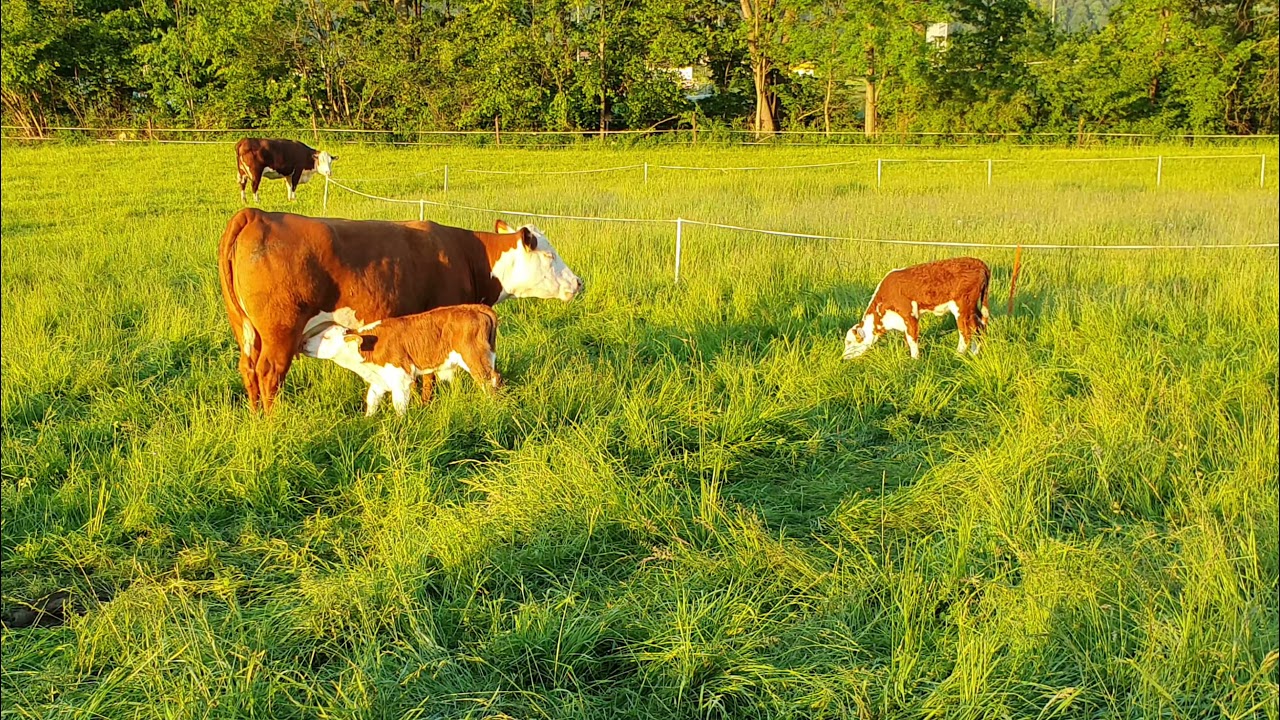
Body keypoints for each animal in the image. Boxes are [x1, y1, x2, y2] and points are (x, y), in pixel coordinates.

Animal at [305, 305, 501, 416]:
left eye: (326, 337)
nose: (304, 342)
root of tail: (475, 307)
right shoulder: (380, 379)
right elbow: (372, 400)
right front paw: (367, 421)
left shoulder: (401, 378)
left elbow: (399, 406)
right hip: (488, 356)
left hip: (474, 358)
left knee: (489, 381)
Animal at [843, 257, 991, 360]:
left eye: (849, 342)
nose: (843, 358)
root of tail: (978, 262)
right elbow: (907, 338)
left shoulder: (910, 314)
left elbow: (912, 339)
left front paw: (914, 360)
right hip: (973, 309)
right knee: (979, 327)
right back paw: (974, 353)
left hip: (962, 308)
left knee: (966, 332)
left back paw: (957, 355)